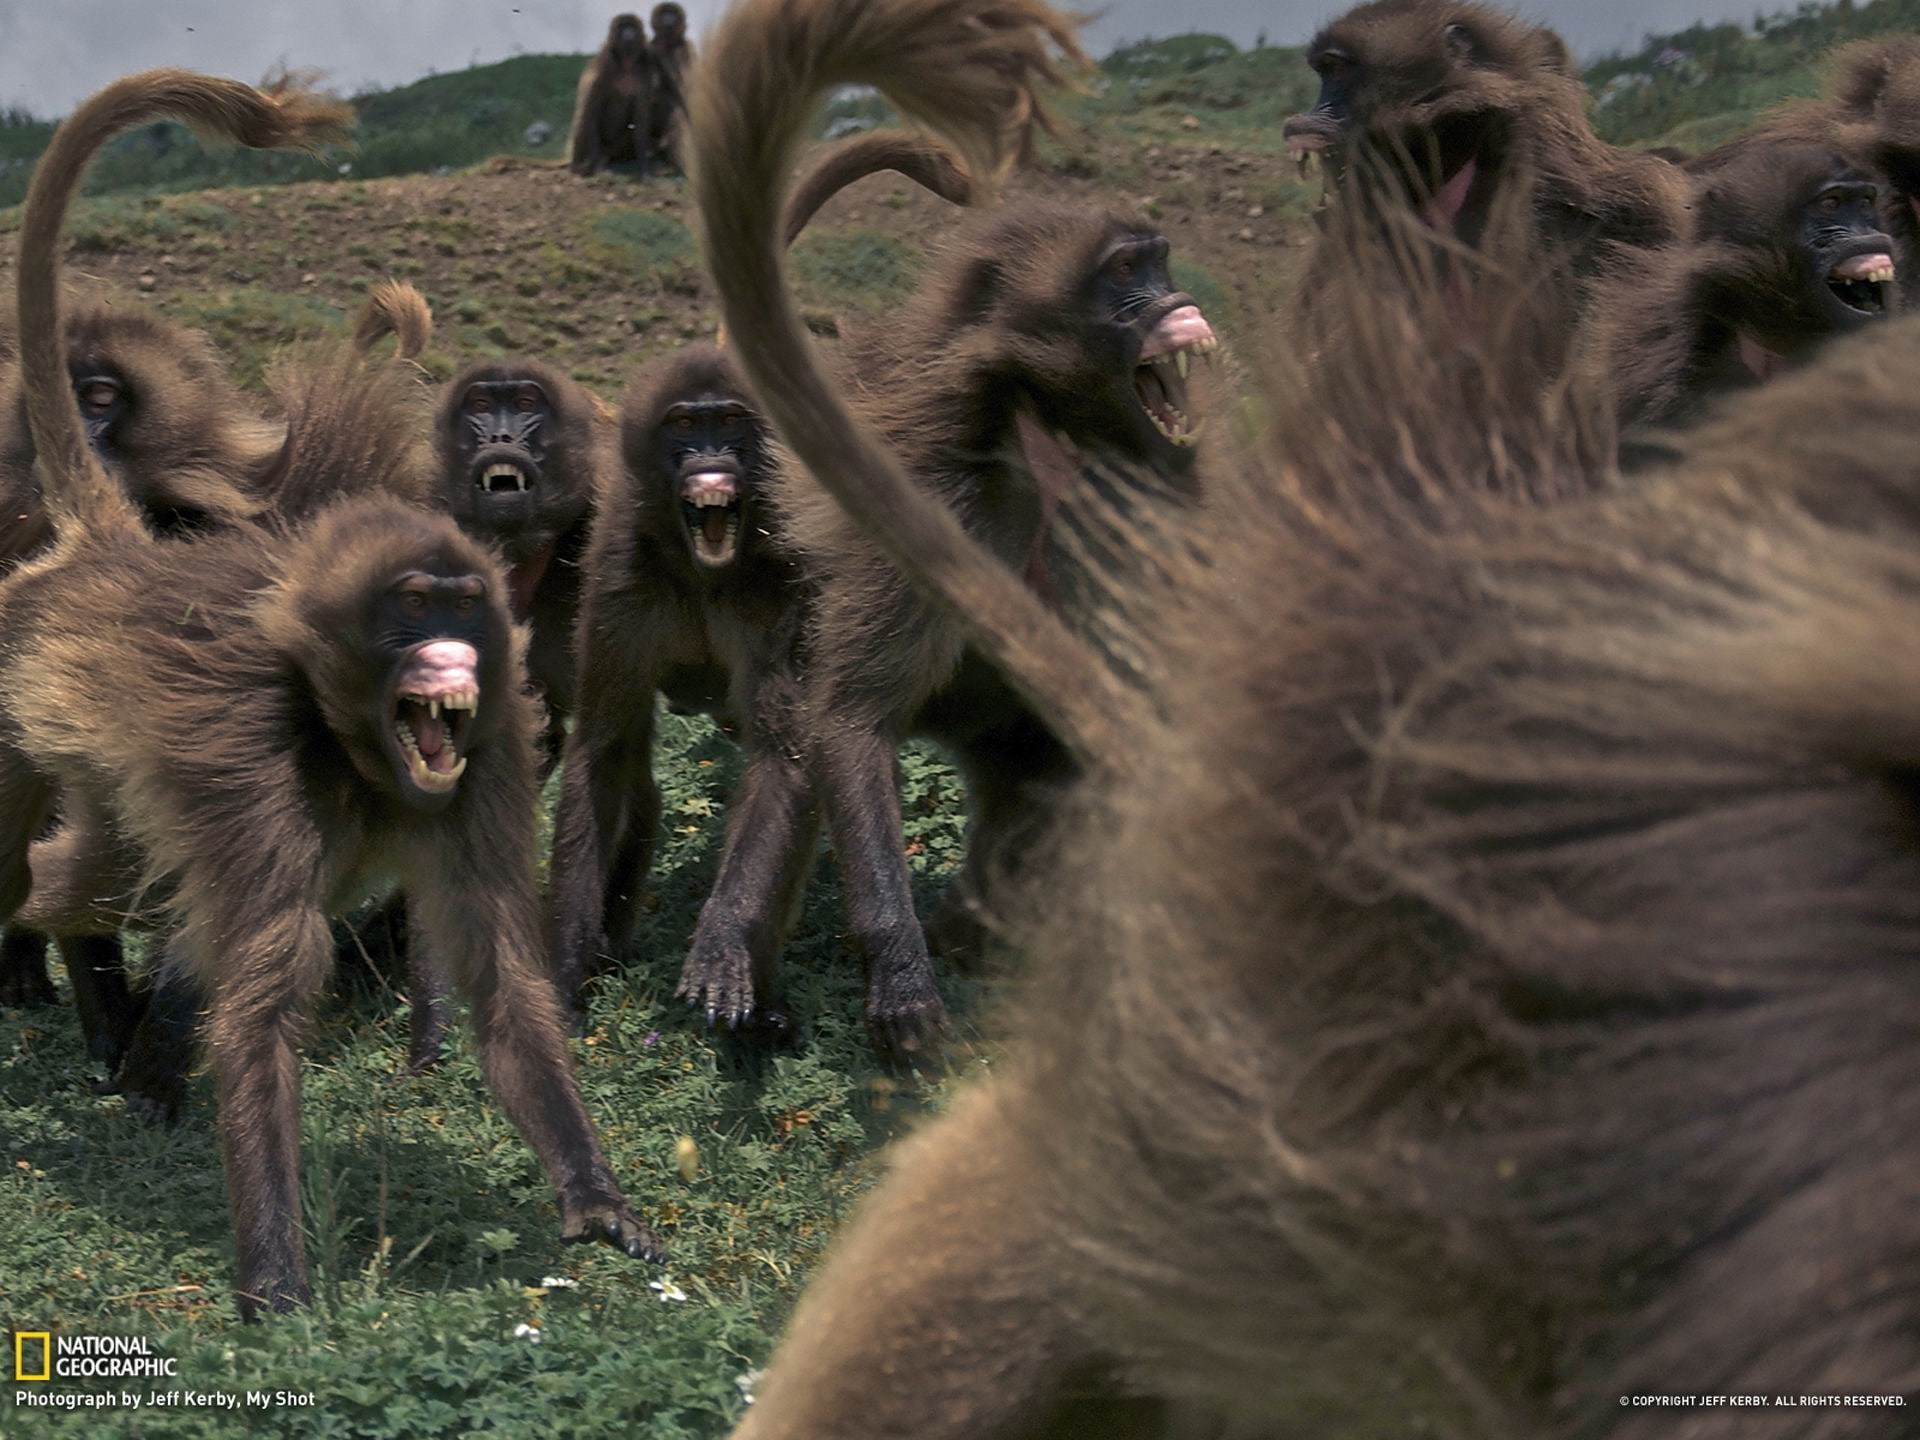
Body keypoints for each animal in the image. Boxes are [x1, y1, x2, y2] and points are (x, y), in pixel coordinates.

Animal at [2, 70, 661, 1317]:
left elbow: (502, 974)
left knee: (80, 878)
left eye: (461, 603)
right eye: (411, 606)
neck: (351, 742)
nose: (457, 654)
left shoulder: (490, 752)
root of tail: (115, 559)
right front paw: (275, 1284)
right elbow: (264, 995)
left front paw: (593, 1193)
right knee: (62, 878)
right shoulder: (256, 764)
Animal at [569, 12, 656, 177]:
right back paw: (583, 167)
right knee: (583, 119)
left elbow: (640, 119)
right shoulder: (604, 65)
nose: (628, 34)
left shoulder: (646, 68)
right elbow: (591, 112)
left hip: (611, 148)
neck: (627, 63)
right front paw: (596, 169)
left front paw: (645, 171)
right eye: (622, 27)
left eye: (631, 27)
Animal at [693, 0, 1236, 1062]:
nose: (1178, 303)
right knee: (803, 735)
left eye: (1156, 260)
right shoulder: (941, 491)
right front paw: (904, 975)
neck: (1040, 434)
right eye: (1125, 275)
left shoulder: (1141, 496)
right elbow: (849, 720)